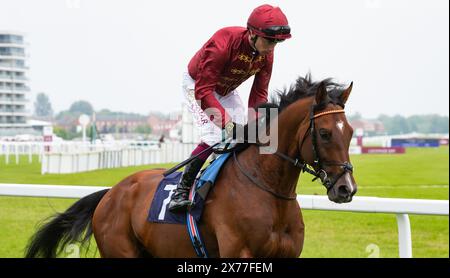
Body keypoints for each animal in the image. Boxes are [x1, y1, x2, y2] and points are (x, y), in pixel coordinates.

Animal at [26, 74, 358, 258]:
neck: (268, 190)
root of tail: (110, 193)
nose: (347, 188)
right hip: (120, 251)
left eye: (351, 132)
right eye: (325, 133)